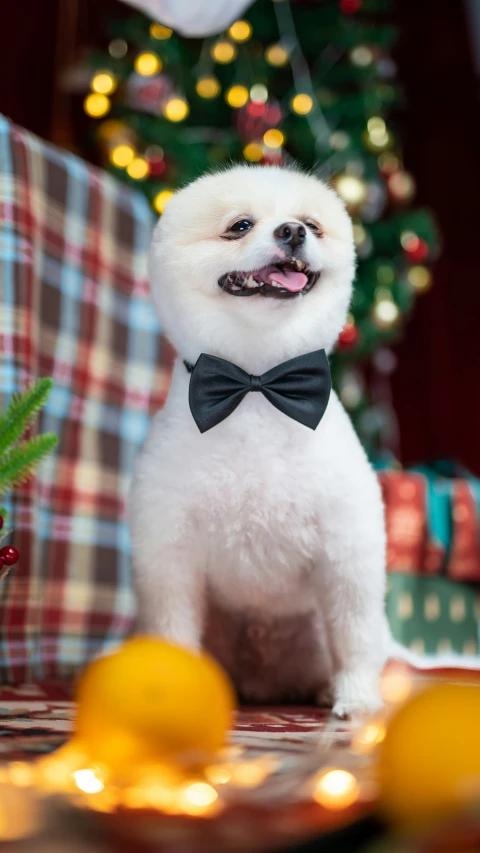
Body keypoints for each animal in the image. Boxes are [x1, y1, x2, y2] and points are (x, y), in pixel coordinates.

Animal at [128, 163, 390, 716]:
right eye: (240, 225)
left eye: (312, 224)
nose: (291, 231)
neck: (257, 387)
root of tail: (264, 681)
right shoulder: (170, 554)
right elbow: (172, 627)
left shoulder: (347, 551)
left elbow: (353, 632)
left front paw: (358, 699)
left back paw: (328, 689)